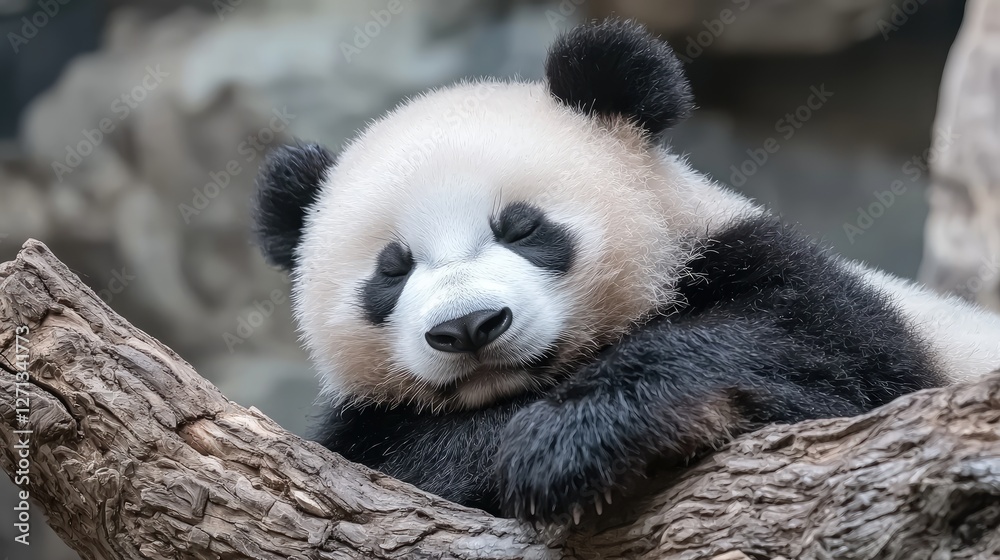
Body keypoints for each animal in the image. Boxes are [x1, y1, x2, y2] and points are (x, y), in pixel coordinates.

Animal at [251, 20, 1000, 524]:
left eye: (521, 227)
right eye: (393, 269)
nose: (469, 326)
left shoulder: (781, 275)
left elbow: (826, 364)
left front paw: (567, 442)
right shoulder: (364, 434)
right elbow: (399, 458)